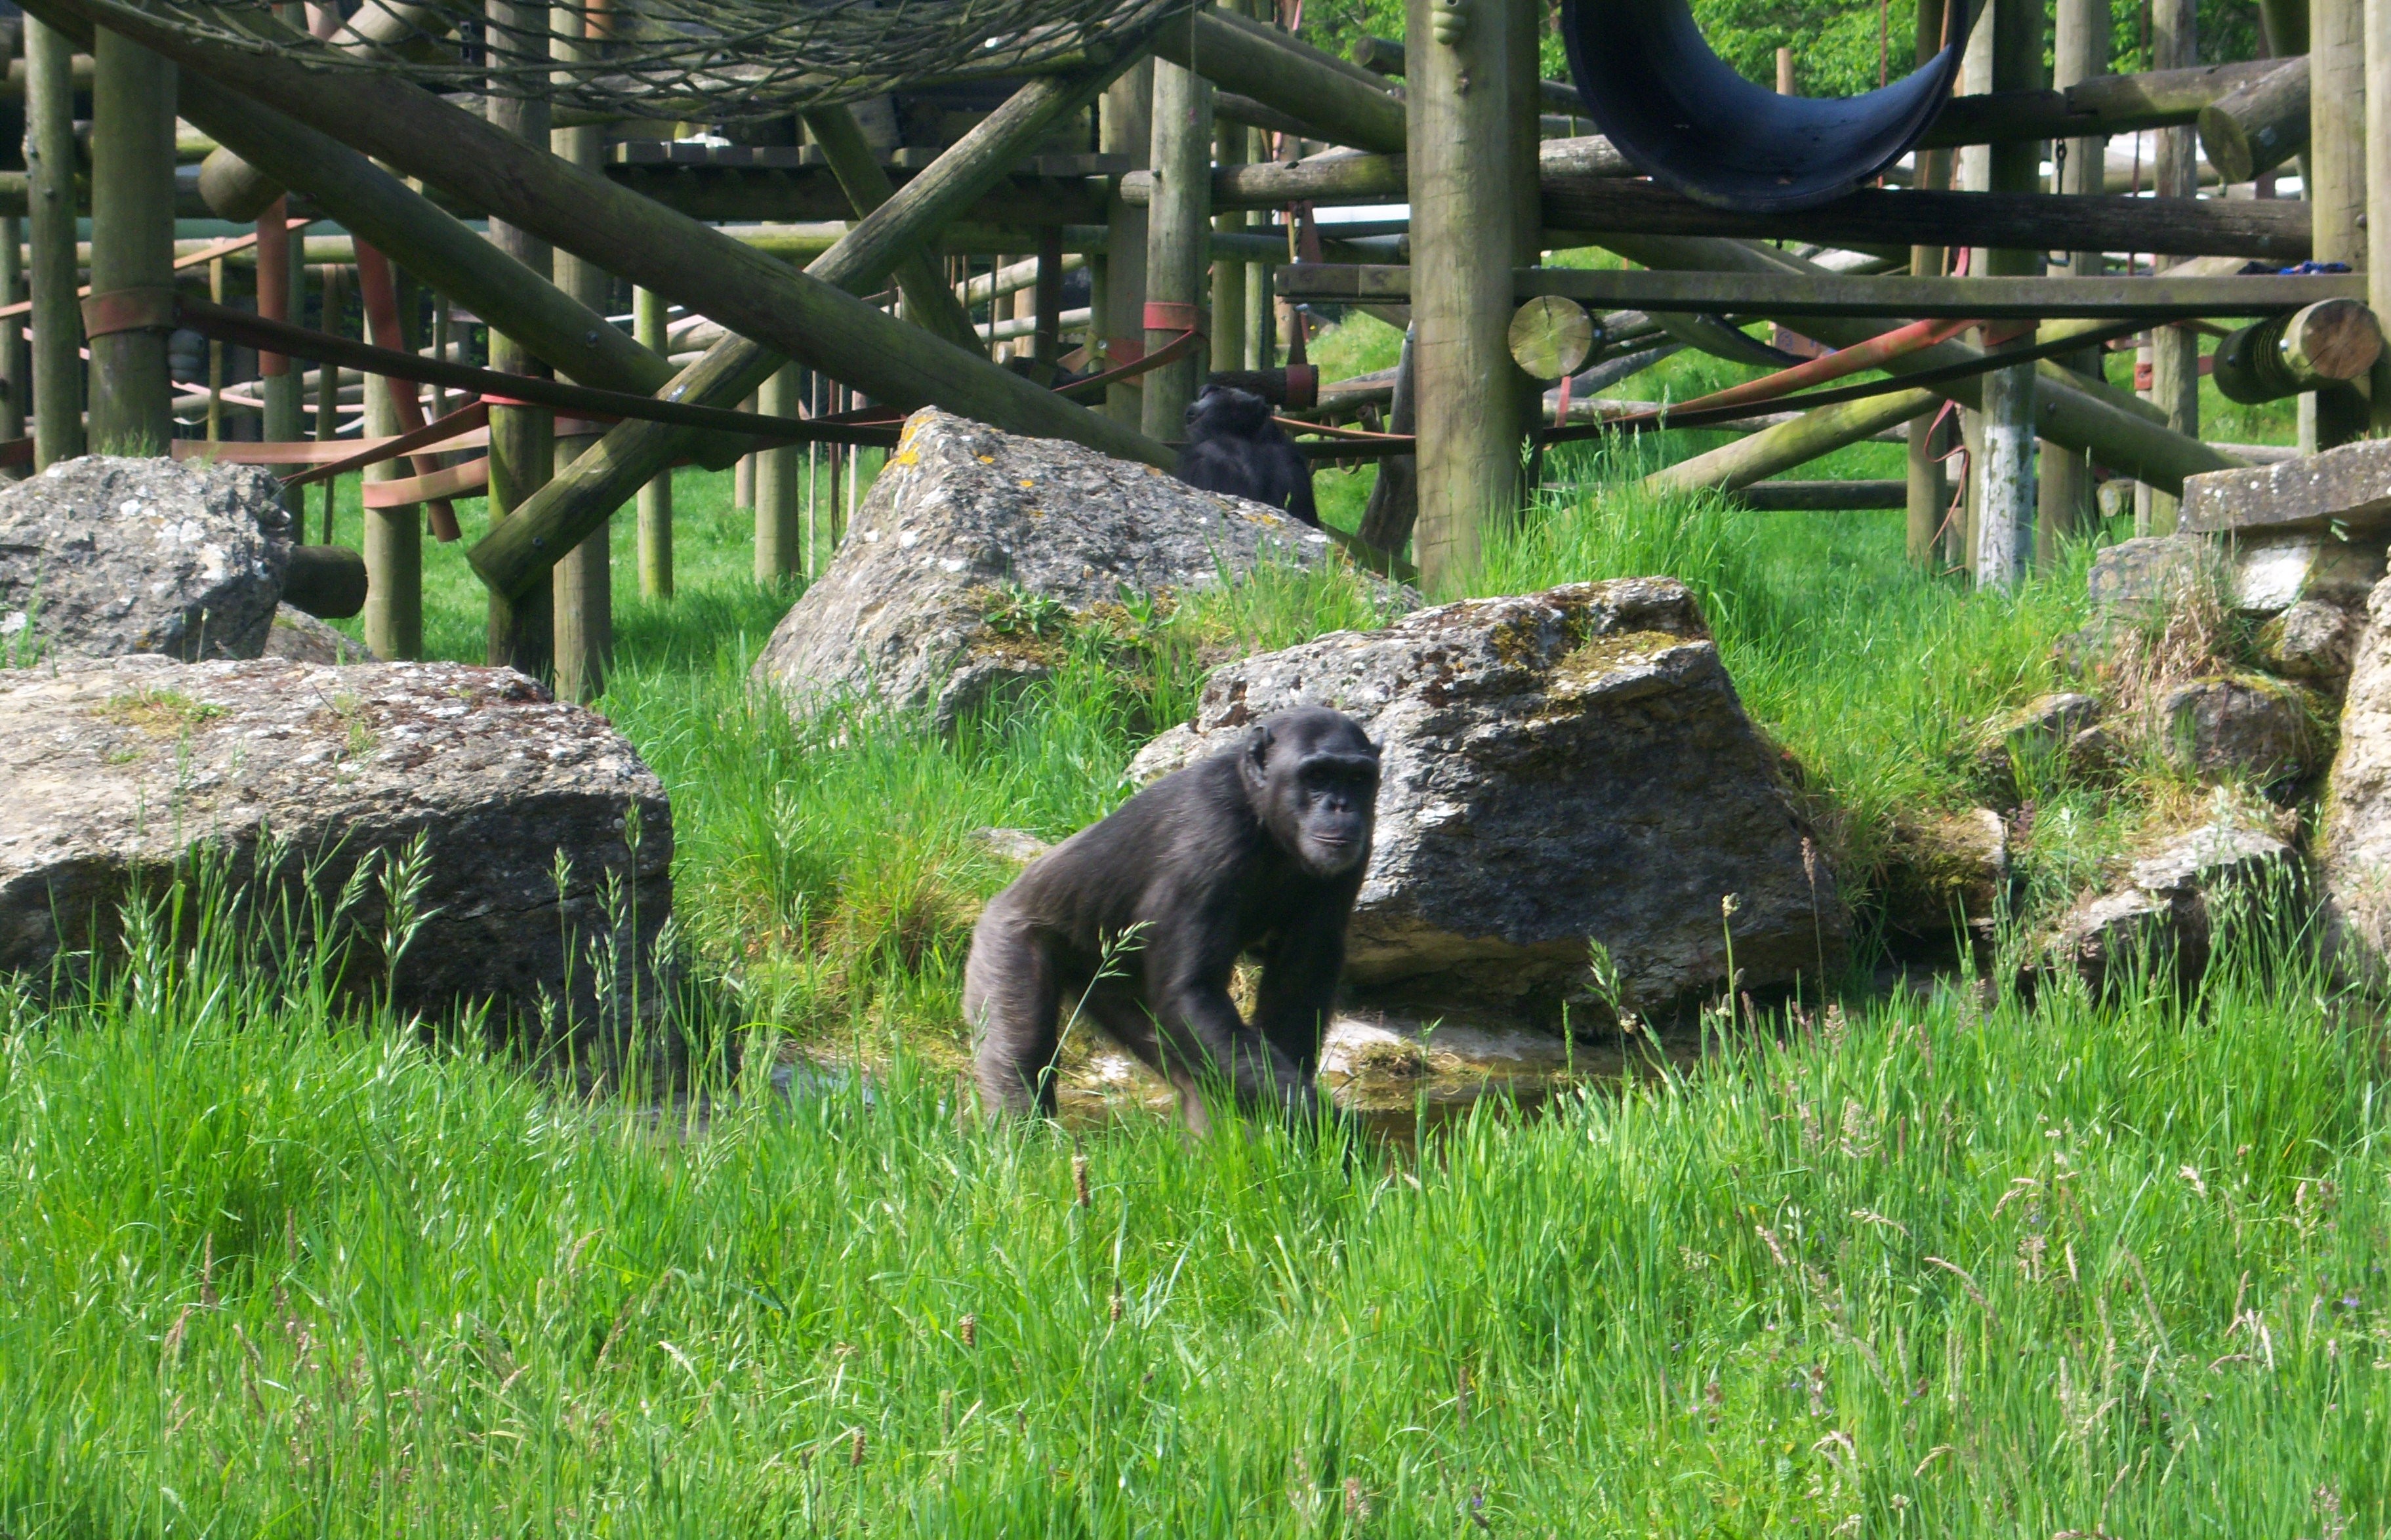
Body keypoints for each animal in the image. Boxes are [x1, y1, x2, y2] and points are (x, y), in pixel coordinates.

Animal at [961, 708, 1387, 1128]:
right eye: (1317, 776)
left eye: (1357, 778)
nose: (1340, 805)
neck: (1262, 816)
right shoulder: (1208, 840)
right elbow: (1192, 993)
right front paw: (1323, 1122)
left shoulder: (1355, 855)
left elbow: (1298, 982)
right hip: (1008, 941)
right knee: (1020, 1049)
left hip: (1107, 986)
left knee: (1198, 1074)